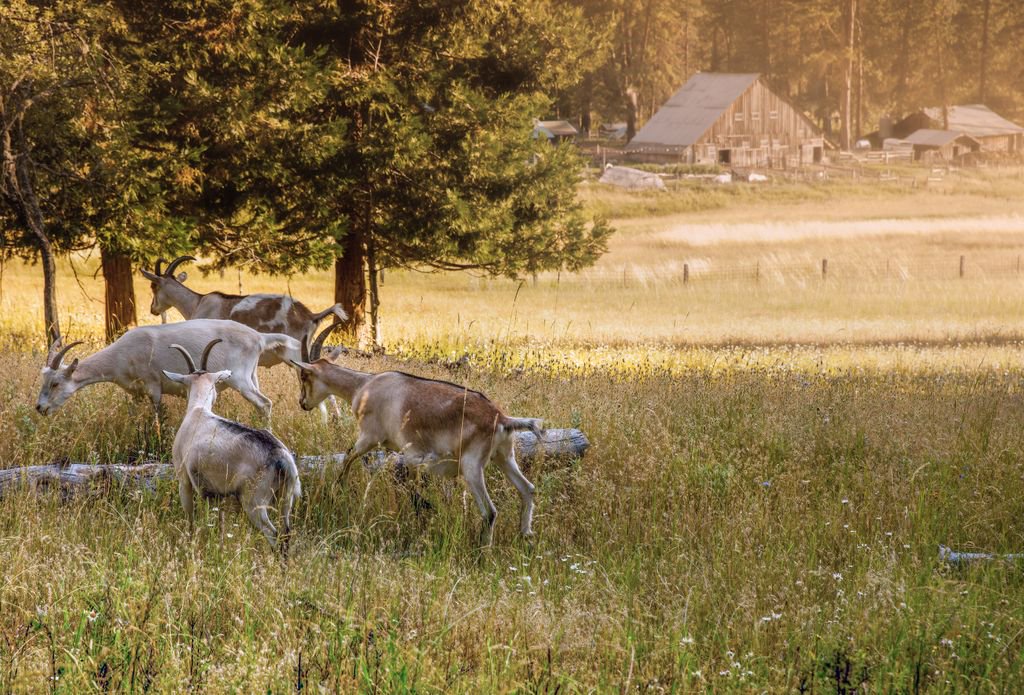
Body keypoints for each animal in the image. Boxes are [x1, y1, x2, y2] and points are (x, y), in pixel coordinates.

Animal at [36, 319, 301, 421]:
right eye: (43, 381)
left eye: (56, 383)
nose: (40, 408)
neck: (122, 354)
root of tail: (259, 337)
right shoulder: (135, 391)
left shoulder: (153, 385)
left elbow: (156, 413)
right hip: (252, 376)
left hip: (240, 378)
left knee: (264, 403)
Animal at [163, 340, 301, 554]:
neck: (197, 411)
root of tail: (281, 457)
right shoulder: (216, 493)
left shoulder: (185, 479)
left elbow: (191, 517)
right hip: (286, 497)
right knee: (286, 533)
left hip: (254, 501)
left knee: (274, 534)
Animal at [290, 325, 541, 546]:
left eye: (304, 375)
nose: (302, 403)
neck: (364, 386)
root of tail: (501, 418)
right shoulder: (403, 453)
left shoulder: (370, 437)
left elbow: (349, 457)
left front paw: (337, 490)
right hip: (504, 456)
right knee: (528, 488)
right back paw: (526, 535)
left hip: (472, 465)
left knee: (490, 512)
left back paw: (483, 550)